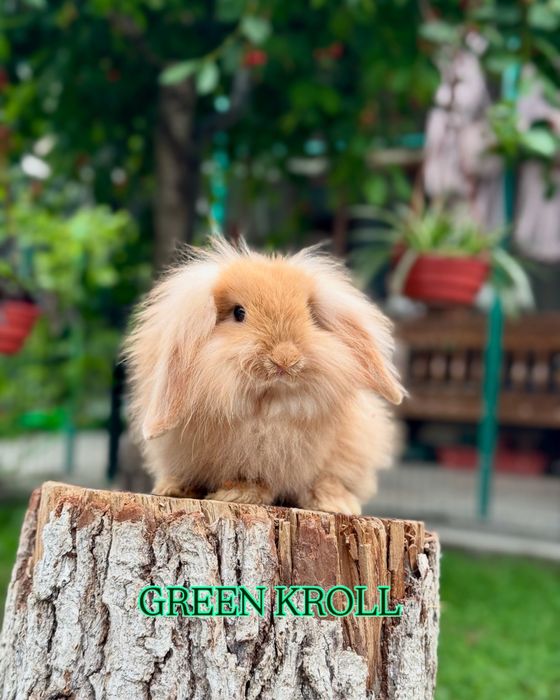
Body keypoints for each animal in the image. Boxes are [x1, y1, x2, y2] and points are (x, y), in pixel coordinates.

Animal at [123, 238, 404, 515]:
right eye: (239, 313)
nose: (285, 358)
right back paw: (173, 487)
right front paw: (236, 494)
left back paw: (336, 504)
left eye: (310, 315)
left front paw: (236, 494)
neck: (268, 402)